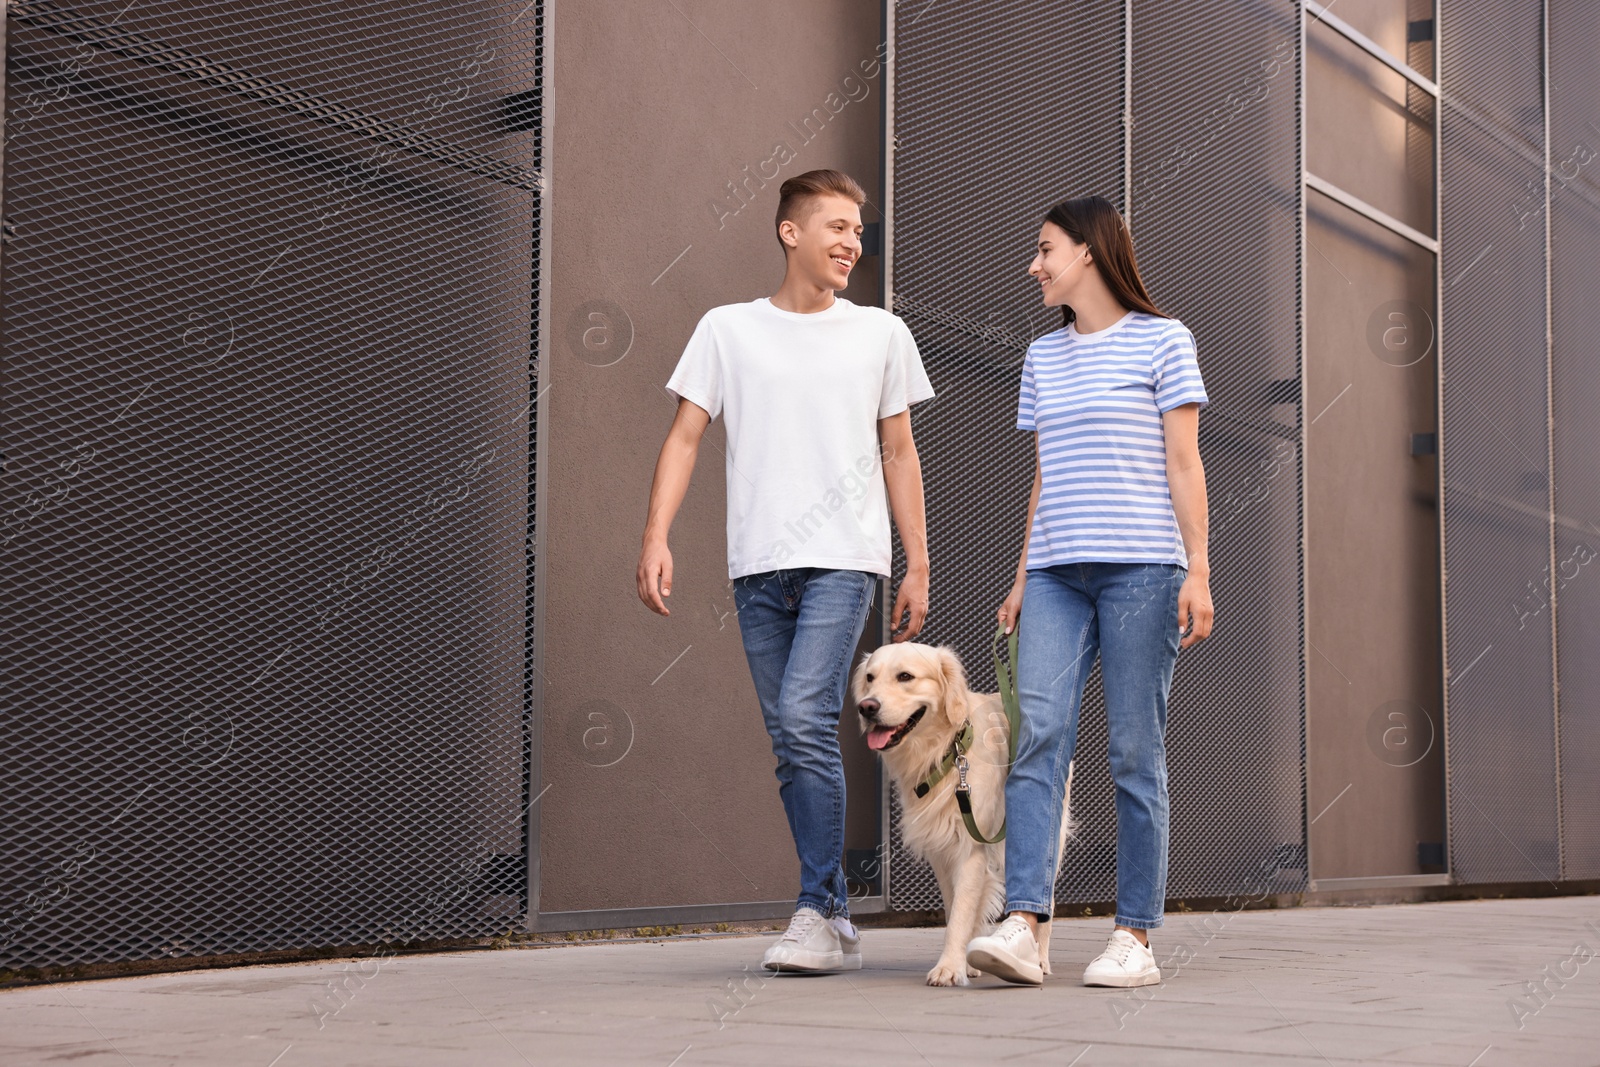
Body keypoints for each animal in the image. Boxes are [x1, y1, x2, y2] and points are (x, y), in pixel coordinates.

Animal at [851, 639, 1075, 991]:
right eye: (870, 677)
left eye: (905, 676)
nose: (867, 707)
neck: (946, 751)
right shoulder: (943, 851)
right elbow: (955, 907)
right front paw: (963, 963)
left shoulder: (970, 847)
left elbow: (961, 912)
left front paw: (948, 968)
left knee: (1047, 901)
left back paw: (1038, 958)